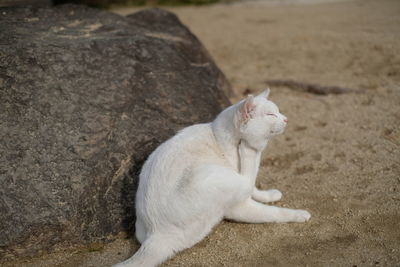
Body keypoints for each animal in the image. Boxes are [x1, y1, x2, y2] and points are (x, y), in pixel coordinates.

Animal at [114, 90, 310, 267]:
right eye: (271, 114)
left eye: (278, 112)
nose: (286, 119)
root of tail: (156, 233)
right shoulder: (239, 203)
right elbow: (273, 211)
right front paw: (299, 214)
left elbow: (255, 188)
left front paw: (269, 195)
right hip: (215, 177)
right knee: (246, 179)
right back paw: (247, 150)